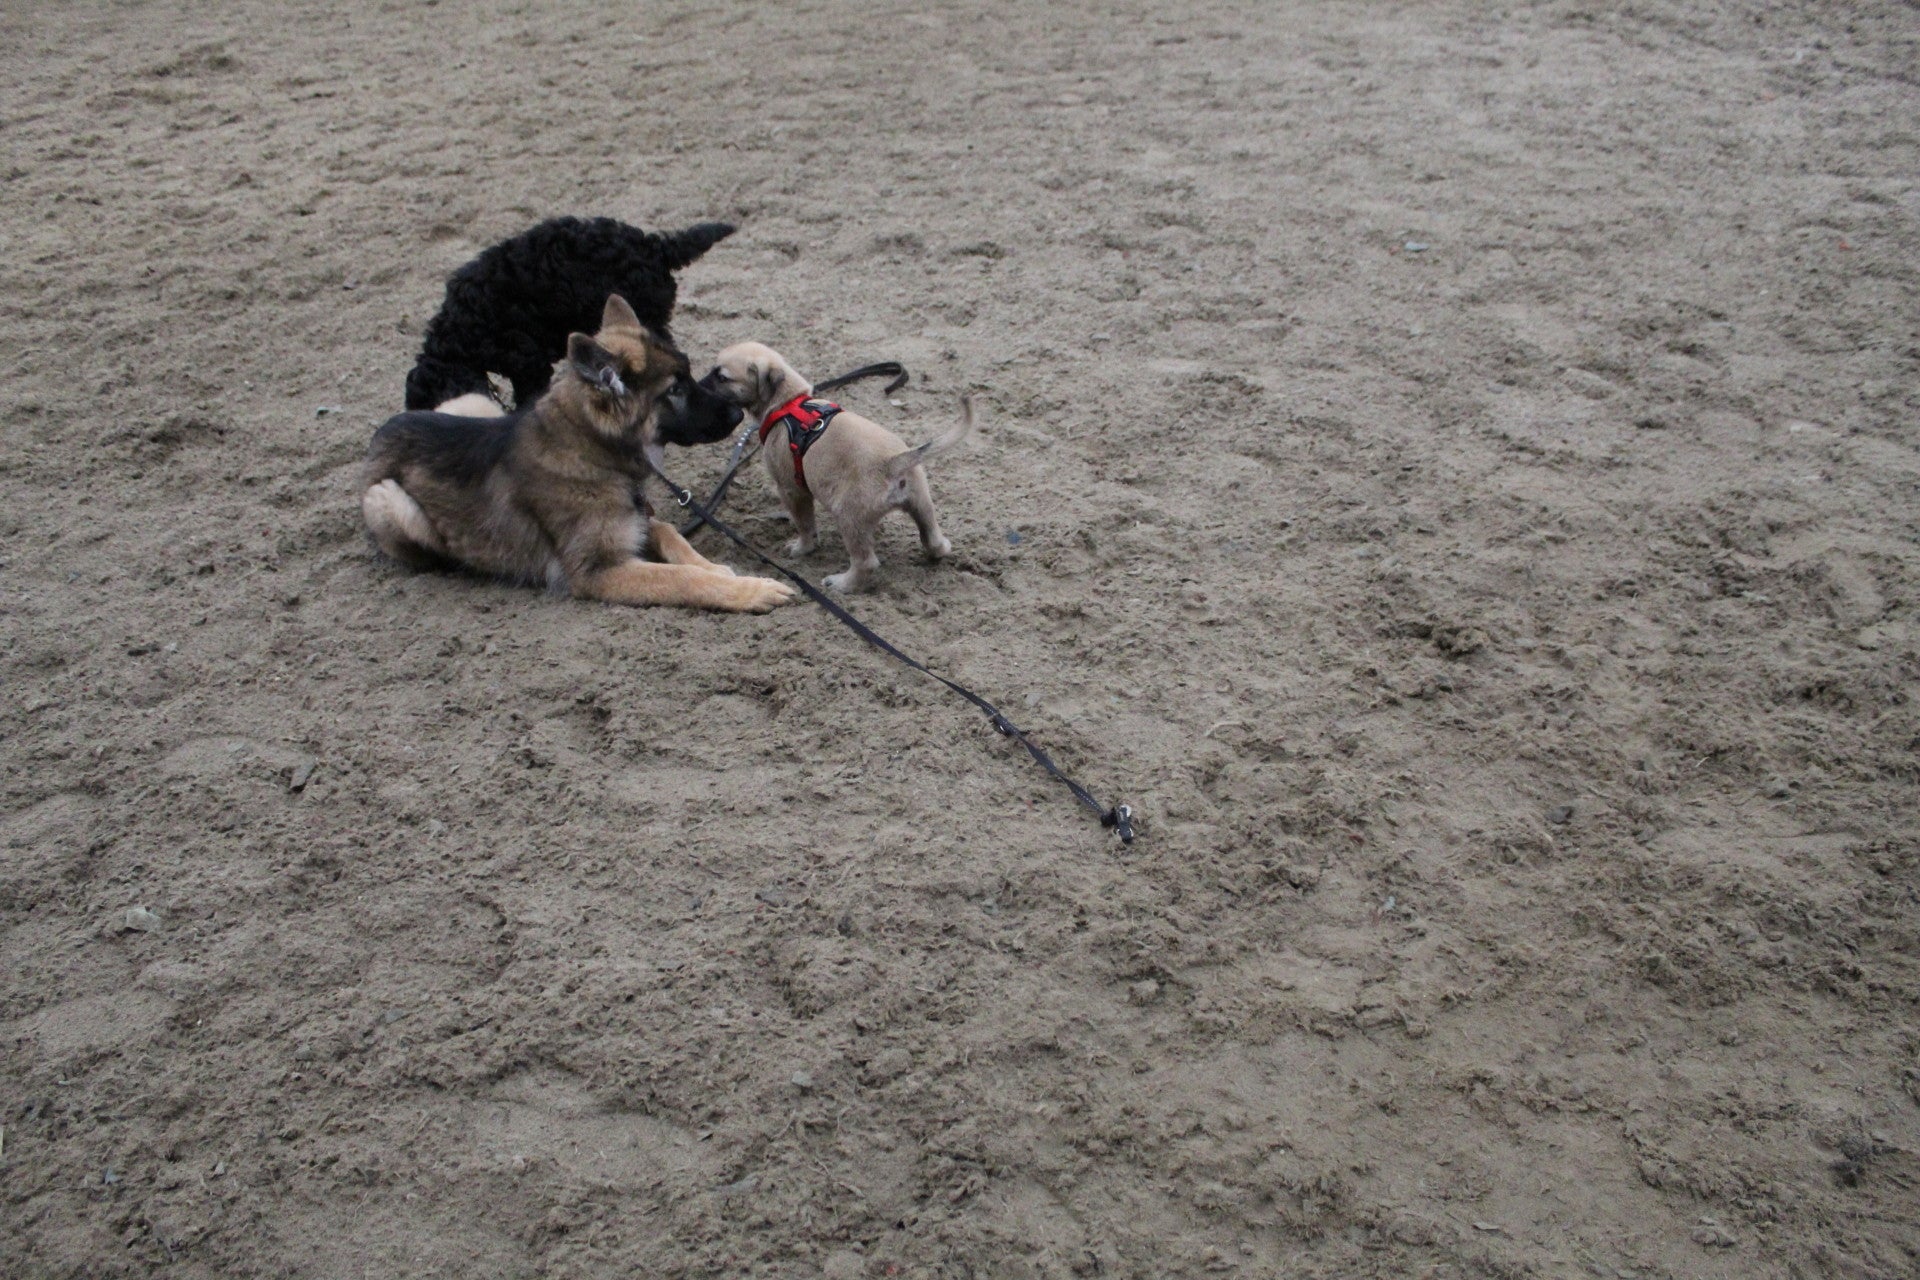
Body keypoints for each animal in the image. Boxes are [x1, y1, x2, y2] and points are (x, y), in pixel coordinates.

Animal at [364, 295, 795, 613]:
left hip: (474, 402)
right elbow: (681, 578)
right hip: (388, 499)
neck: (591, 452)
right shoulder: (597, 571)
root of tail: (382, 430)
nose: (738, 415)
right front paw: (751, 591)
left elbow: (671, 534)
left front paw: (721, 569)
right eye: (674, 389)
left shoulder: (637, 521)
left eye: (688, 374)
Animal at [700, 343, 971, 593]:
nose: (699, 384)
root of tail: (894, 462)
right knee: (932, 539)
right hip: (921, 502)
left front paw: (802, 548)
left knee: (866, 562)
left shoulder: (791, 490)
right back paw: (940, 549)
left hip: (849, 516)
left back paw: (841, 584)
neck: (787, 402)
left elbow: (805, 525)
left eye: (722, 377)